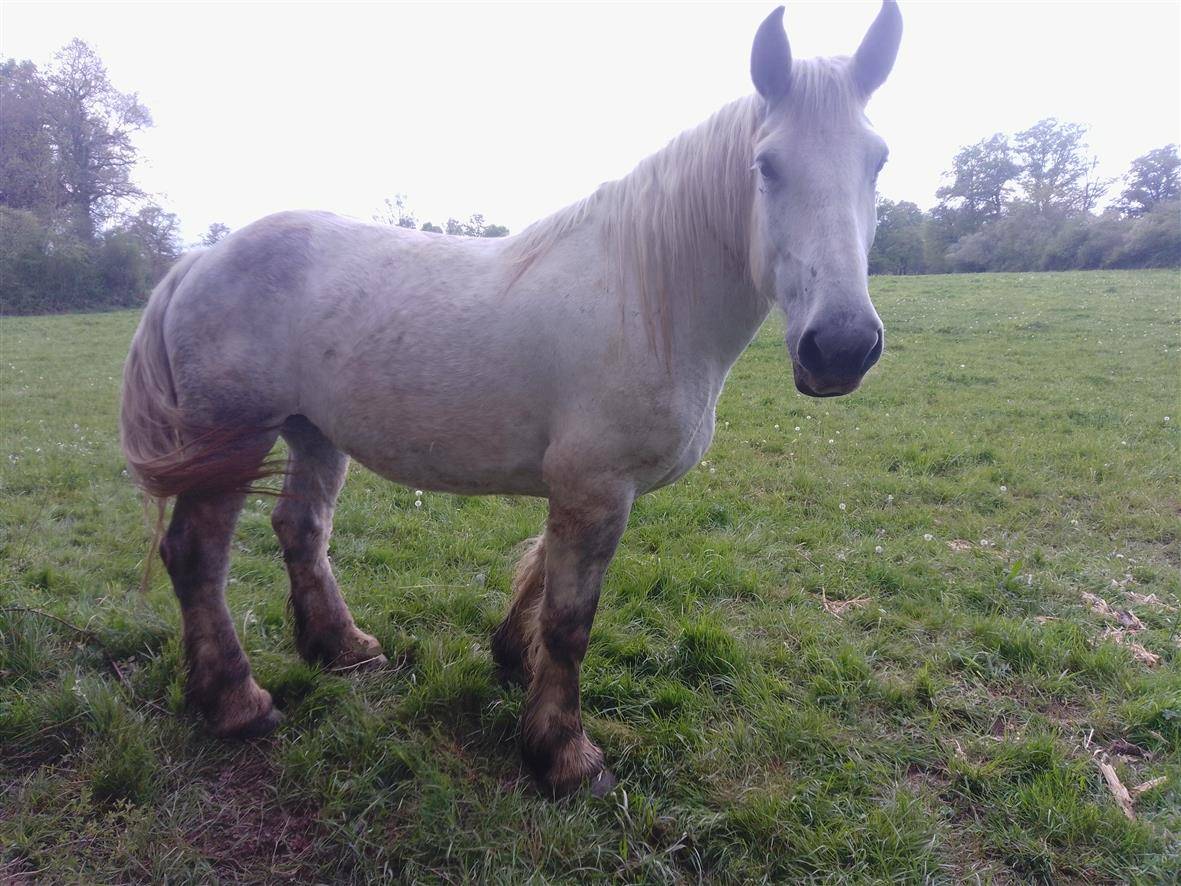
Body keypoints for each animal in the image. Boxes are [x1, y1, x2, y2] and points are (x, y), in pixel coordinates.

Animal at [120, 2, 902, 798]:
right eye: (766, 165)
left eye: (877, 160)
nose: (840, 347)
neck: (646, 293)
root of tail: (199, 259)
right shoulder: (594, 487)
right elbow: (569, 619)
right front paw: (562, 752)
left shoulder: (581, 489)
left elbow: (539, 577)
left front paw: (509, 660)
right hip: (234, 438)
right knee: (197, 555)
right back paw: (236, 702)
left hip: (312, 431)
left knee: (300, 529)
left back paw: (341, 648)